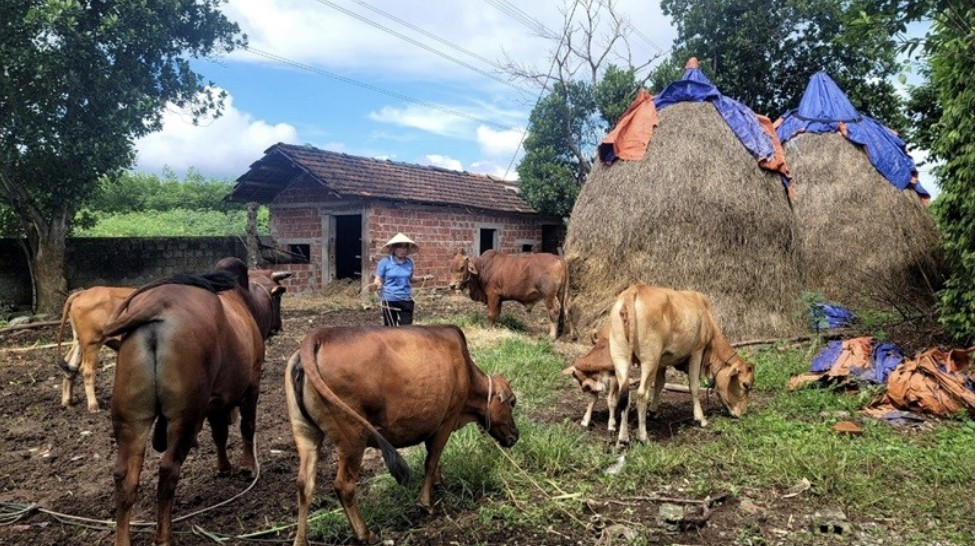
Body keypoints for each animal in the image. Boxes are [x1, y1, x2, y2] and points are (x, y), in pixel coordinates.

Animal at [107, 256, 292, 544]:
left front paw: (224, 467)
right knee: (168, 469)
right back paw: (164, 536)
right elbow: (246, 427)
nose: (278, 325)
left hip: (130, 418)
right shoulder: (251, 384)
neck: (246, 301)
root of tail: (157, 304)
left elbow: (219, 434)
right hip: (186, 416)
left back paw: (123, 537)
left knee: (124, 475)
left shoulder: (215, 401)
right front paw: (247, 466)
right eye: (279, 299)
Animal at [286, 324, 524, 540]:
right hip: (353, 438)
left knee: (305, 486)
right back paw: (365, 534)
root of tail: (319, 336)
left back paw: (301, 540)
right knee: (344, 486)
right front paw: (425, 503)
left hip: (305, 433)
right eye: (512, 401)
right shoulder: (446, 420)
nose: (515, 435)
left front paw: (438, 483)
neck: (465, 370)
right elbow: (431, 461)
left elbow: (434, 460)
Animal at [608, 282, 756, 444]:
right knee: (641, 395)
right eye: (745, 385)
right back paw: (643, 437)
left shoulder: (662, 361)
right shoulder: (697, 352)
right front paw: (701, 419)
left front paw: (653, 411)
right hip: (650, 359)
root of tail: (635, 290)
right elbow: (694, 386)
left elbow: (660, 384)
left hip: (621, 356)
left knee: (625, 395)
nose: (742, 413)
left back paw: (623, 438)